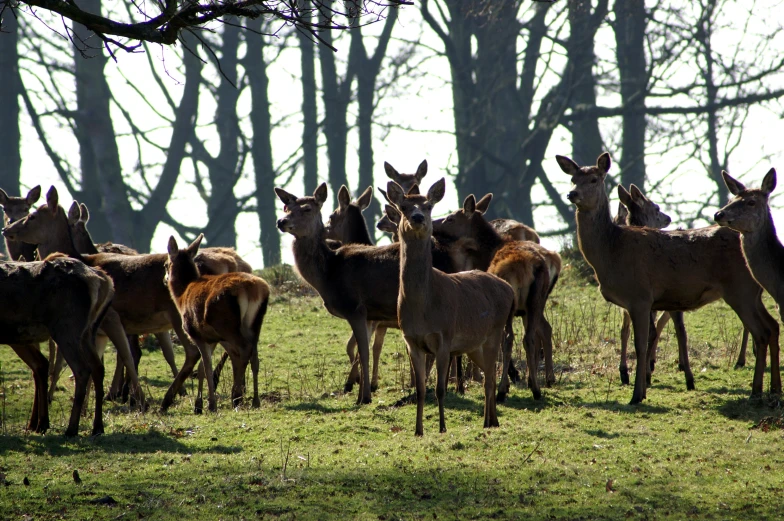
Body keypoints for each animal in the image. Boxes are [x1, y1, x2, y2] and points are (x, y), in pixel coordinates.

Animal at [0, 254, 115, 436]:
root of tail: (103, 280)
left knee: (81, 369)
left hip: (65, 329)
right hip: (88, 332)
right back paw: (97, 427)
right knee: (97, 368)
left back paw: (71, 428)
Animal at [165, 235, 270, 410]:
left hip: (227, 325)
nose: (164, 279)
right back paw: (254, 400)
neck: (181, 297)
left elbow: (206, 366)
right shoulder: (213, 337)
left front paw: (207, 404)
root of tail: (251, 290)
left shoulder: (196, 333)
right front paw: (201, 403)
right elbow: (202, 367)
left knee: (244, 350)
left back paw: (237, 397)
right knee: (254, 356)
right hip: (255, 323)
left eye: (165, 264)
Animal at [386, 179, 516, 434]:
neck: (423, 308)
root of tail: (508, 289)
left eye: (428, 206)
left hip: (494, 331)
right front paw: (418, 430)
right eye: (403, 207)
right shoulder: (411, 341)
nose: (417, 217)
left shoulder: (444, 338)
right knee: (487, 375)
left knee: (490, 378)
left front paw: (442, 428)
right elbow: (420, 390)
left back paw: (491, 421)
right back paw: (490, 420)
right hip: (474, 345)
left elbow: (439, 389)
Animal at [556, 152, 780, 404]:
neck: (611, 251)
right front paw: (642, 388)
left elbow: (641, 345)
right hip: (753, 293)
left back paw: (756, 390)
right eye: (573, 179)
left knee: (762, 332)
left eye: (594, 179)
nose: (572, 194)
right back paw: (773, 389)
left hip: (740, 289)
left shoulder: (640, 297)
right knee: (772, 327)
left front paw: (637, 395)